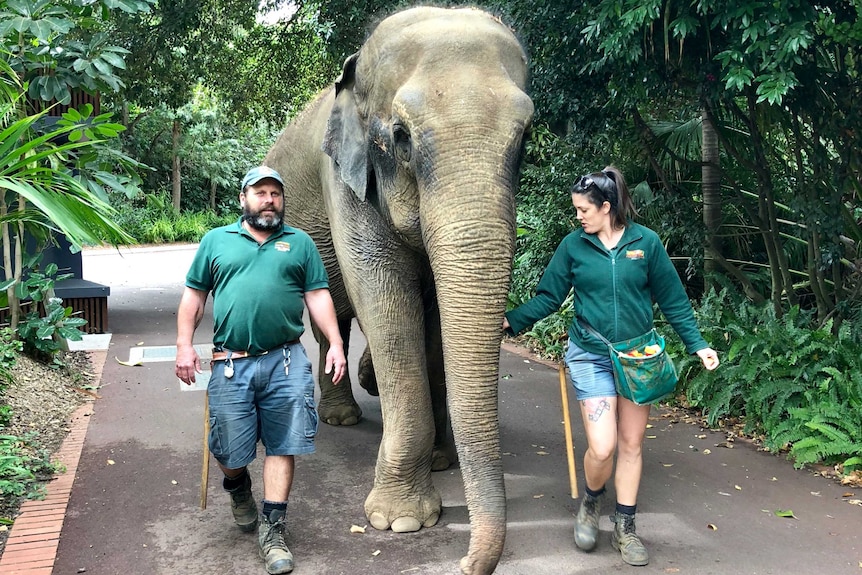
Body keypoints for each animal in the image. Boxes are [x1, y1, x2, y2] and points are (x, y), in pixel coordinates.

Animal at [264, 6, 532, 572]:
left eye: (525, 139)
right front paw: (401, 521)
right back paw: (341, 416)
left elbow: (433, 318)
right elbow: (387, 301)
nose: (465, 564)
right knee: (335, 316)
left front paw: (441, 461)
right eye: (402, 135)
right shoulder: (345, 181)